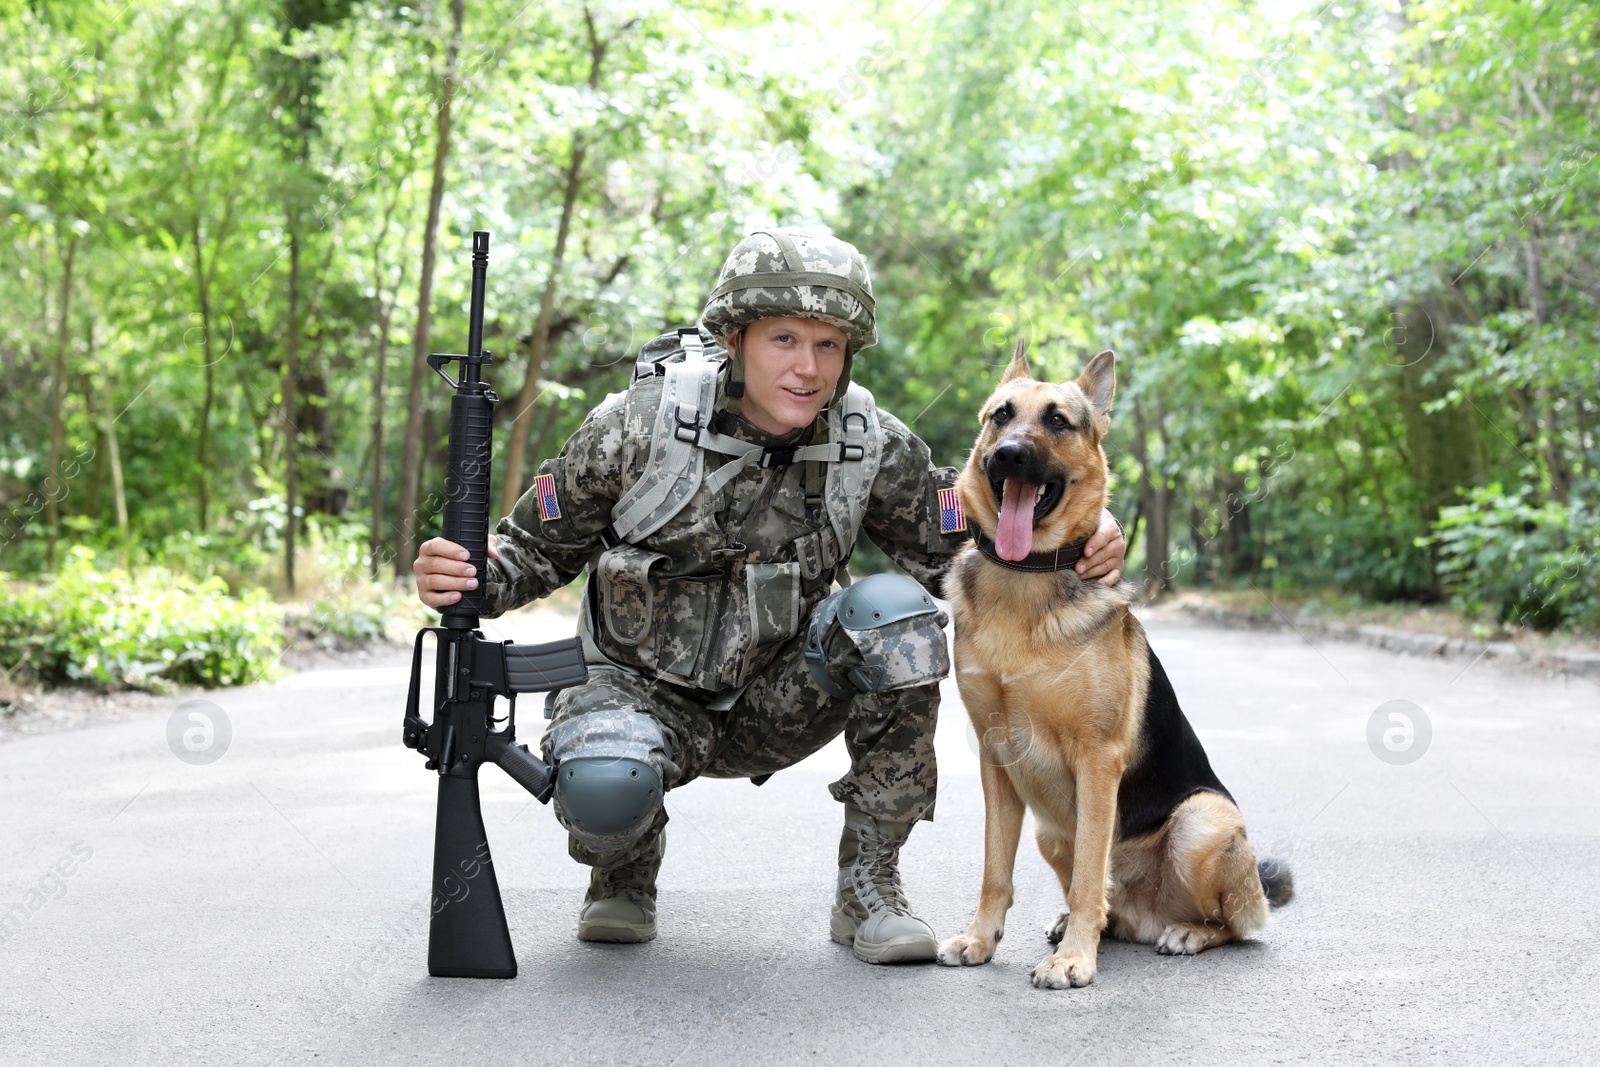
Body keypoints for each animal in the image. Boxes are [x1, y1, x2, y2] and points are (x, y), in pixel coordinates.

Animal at [934, 347, 1286, 991]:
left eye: (1057, 421)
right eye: (1001, 415)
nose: (1009, 454)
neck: (1025, 582)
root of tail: (1152, 914)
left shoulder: (1097, 761)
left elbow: (1088, 877)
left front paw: (1075, 959)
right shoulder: (996, 759)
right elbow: (996, 870)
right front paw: (980, 939)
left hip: (1202, 820)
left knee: (1232, 923)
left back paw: (1186, 933)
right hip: (1050, 831)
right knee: (1109, 906)